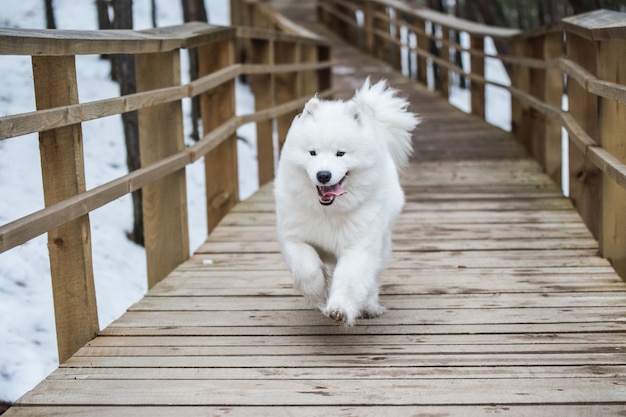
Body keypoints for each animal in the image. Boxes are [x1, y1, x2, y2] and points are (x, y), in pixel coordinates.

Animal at [274, 78, 416, 324]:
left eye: (340, 153)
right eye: (312, 153)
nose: (323, 175)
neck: (328, 212)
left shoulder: (359, 246)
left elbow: (350, 279)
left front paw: (339, 309)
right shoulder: (294, 238)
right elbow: (306, 268)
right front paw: (317, 293)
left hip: (381, 245)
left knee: (371, 280)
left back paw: (369, 306)